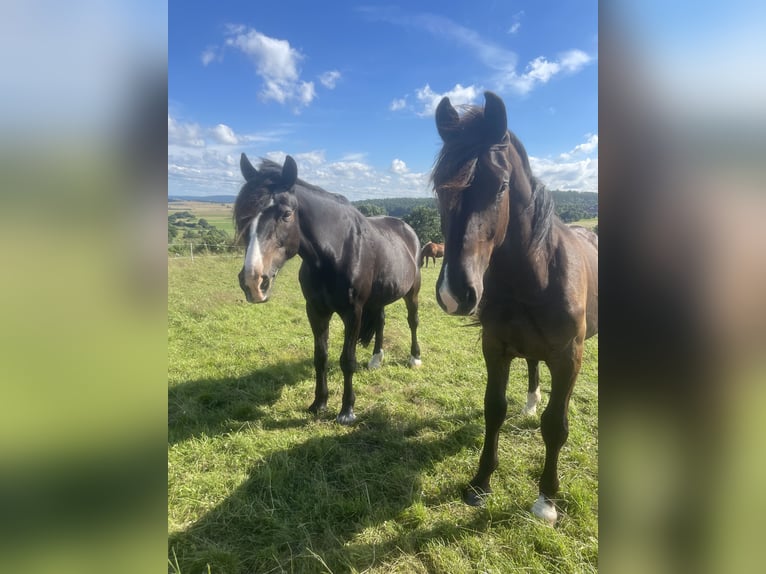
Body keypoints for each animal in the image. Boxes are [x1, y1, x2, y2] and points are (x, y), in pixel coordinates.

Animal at [236, 155, 424, 426]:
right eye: (243, 215)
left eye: (286, 214)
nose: (253, 282)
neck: (337, 252)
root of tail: (407, 229)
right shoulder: (316, 311)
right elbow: (320, 357)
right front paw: (318, 403)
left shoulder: (353, 313)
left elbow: (347, 360)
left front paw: (347, 411)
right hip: (379, 297)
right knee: (381, 320)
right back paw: (376, 360)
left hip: (413, 291)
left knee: (413, 321)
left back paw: (415, 358)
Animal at [432, 91, 600, 528]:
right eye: (439, 189)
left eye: (501, 186)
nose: (454, 292)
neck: (535, 275)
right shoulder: (496, 348)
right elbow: (494, 409)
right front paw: (480, 483)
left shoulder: (568, 357)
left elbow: (555, 425)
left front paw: (546, 501)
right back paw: (530, 401)